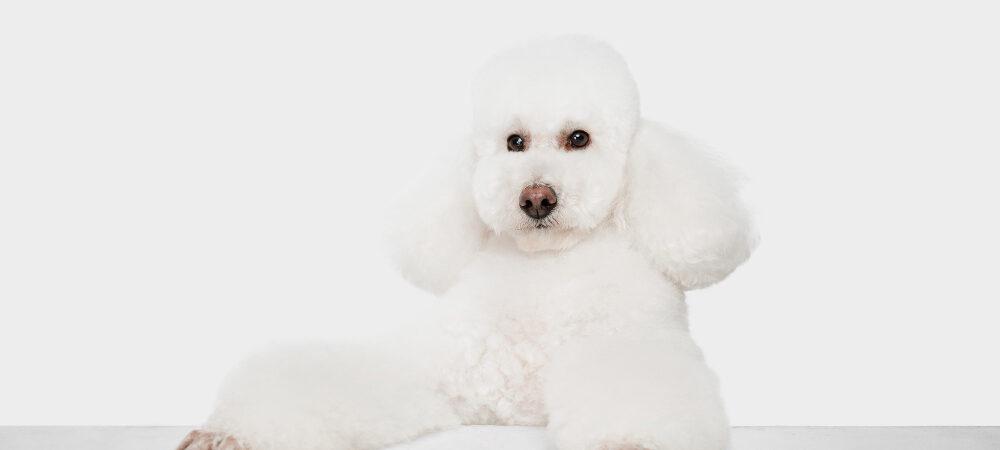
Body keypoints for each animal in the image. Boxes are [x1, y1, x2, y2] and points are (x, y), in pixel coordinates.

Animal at [180, 36, 752, 450]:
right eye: (514, 142)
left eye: (579, 138)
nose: (536, 198)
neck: (545, 272)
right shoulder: (439, 377)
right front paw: (232, 432)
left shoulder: (629, 344)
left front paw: (626, 442)